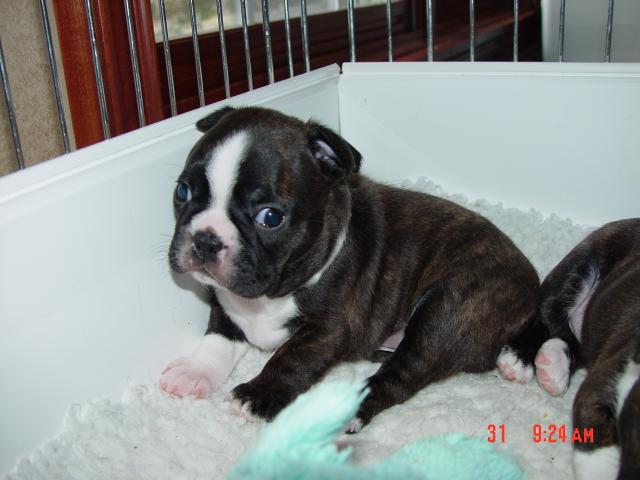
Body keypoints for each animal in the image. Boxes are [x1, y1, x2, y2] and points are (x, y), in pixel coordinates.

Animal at [159, 106, 539, 431]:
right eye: (182, 191)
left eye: (270, 217)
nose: (206, 239)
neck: (269, 295)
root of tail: (531, 286)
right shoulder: (225, 302)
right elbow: (218, 336)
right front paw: (194, 372)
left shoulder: (330, 328)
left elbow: (291, 358)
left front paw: (258, 394)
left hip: (446, 311)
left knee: (401, 376)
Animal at [498, 219, 640, 479]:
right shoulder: (601, 387)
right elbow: (597, 454)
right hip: (582, 264)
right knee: (550, 318)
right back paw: (520, 360)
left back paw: (555, 367)